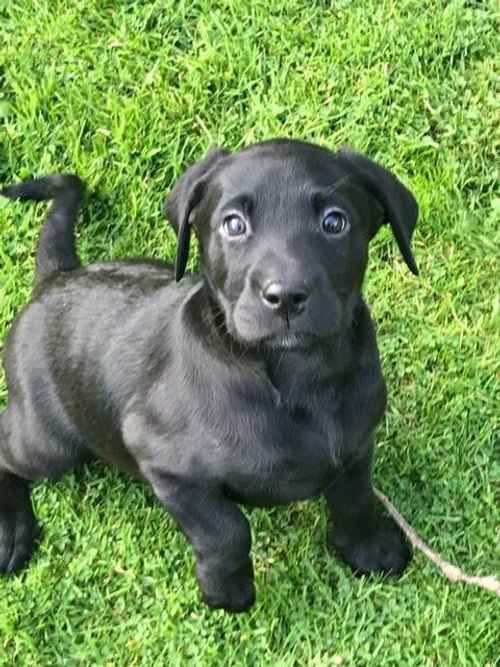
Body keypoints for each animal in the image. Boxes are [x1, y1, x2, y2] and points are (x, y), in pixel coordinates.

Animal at [0, 141, 416, 612]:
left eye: (334, 222)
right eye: (233, 224)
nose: (286, 296)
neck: (298, 379)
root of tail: (56, 277)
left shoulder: (357, 443)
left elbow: (355, 499)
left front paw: (370, 550)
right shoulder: (163, 463)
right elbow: (226, 531)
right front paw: (227, 590)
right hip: (49, 443)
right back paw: (11, 529)